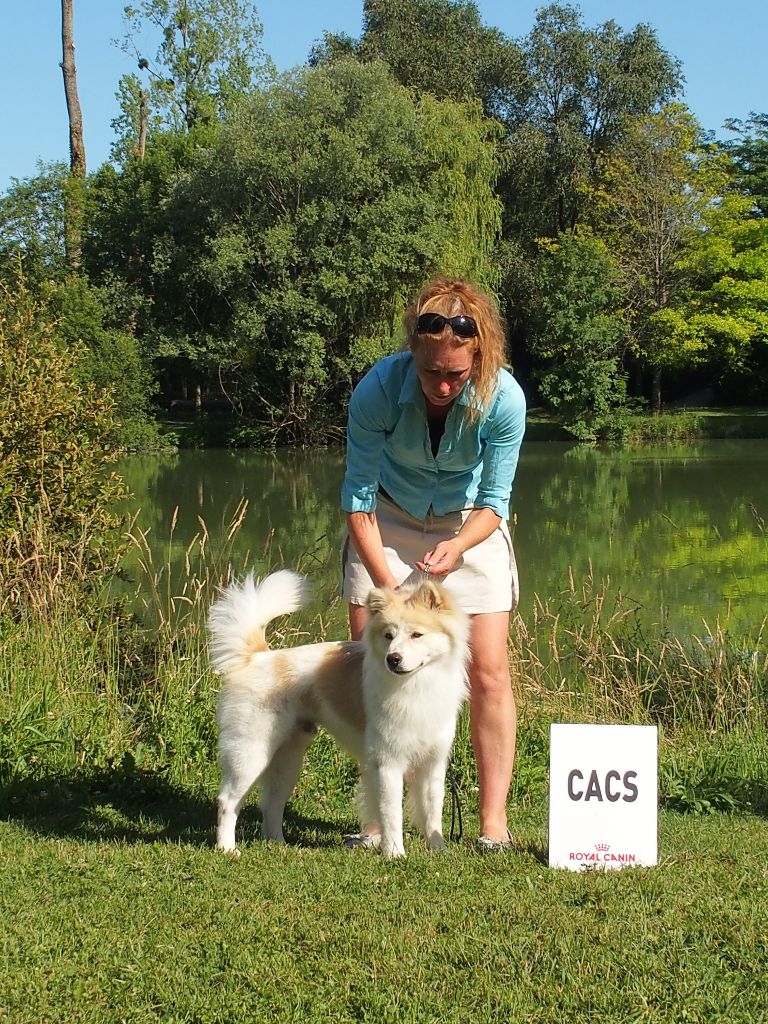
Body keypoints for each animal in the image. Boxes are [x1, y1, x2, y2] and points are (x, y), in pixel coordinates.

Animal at [207, 573, 468, 860]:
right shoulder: (388, 763)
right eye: (388, 636)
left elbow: (433, 813)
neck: (418, 684)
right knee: (227, 802)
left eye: (416, 635)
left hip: (287, 760)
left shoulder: (434, 764)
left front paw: (439, 850)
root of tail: (256, 657)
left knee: (272, 804)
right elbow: (392, 815)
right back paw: (227, 848)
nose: (393, 659)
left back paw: (278, 843)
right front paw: (395, 854)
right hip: (250, 754)